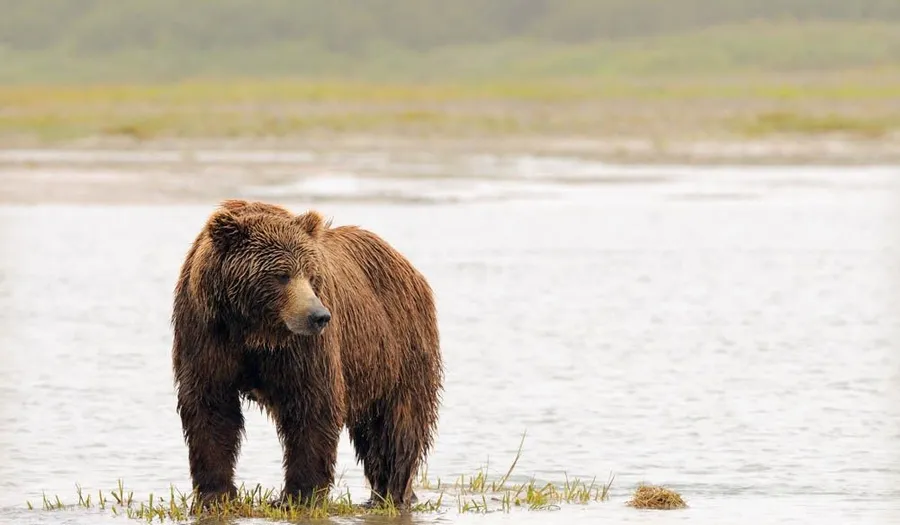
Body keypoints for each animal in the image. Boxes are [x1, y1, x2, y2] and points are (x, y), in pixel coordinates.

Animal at [170, 199, 443, 510]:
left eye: (311, 275)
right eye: (282, 275)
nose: (318, 316)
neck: (255, 330)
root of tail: (405, 263)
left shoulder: (303, 350)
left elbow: (313, 406)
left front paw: (298, 496)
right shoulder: (206, 333)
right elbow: (211, 408)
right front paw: (214, 496)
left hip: (398, 348)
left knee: (397, 425)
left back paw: (391, 494)